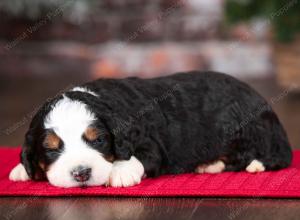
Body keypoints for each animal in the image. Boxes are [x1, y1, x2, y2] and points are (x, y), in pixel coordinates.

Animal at [9, 72, 292, 187]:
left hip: (243, 127)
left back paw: (242, 164)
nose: (81, 174)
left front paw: (120, 172)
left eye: (98, 141)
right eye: (50, 149)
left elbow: (138, 157)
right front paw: (21, 170)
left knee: (269, 155)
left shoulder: (151, 143)